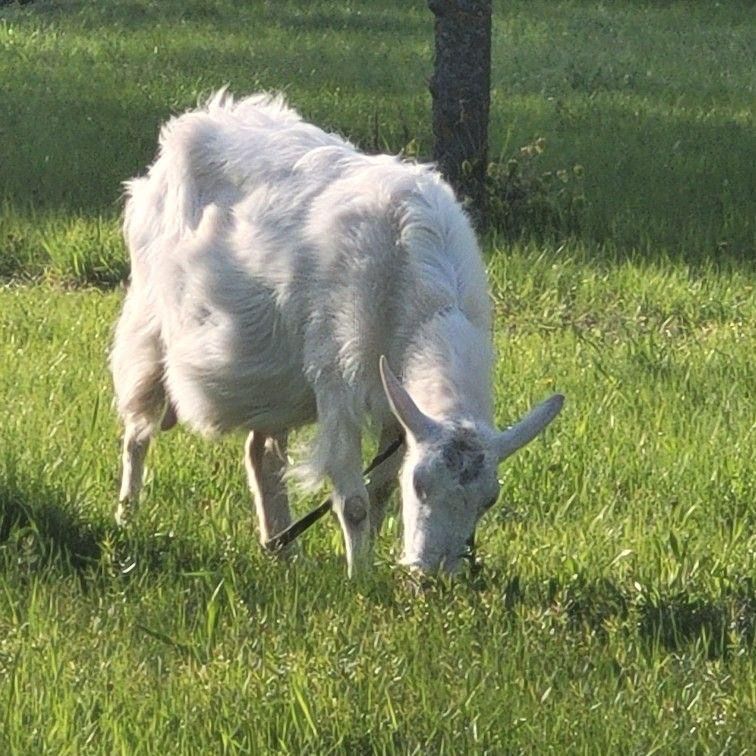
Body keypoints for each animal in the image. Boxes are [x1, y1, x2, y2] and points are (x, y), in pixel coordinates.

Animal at [110, 90, 560, 572]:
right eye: (420, 484)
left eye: (488, 500)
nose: (432, 574)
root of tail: (191, 123)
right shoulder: (337, 384)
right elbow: (355, 502)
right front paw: (358, 577)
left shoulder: (395, 407)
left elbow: (379, 491)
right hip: (150, 326)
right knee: (138, 431)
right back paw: (127, 516)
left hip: (275, 376)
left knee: (261, 451)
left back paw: (281, 550)